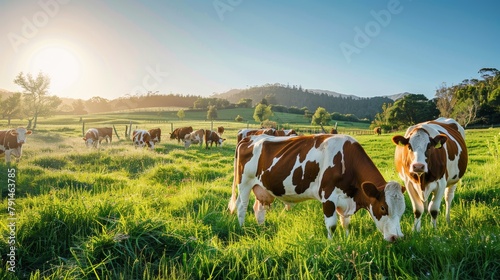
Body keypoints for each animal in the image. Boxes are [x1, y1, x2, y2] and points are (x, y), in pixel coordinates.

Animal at [229, 133, 406, 241]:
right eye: (383, 208)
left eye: (403, 210)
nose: (396, 237)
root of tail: (250, 137)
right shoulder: (328, 197)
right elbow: (332, 225)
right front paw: (332, 244)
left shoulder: (345, 198)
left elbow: (346, 223)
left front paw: (347, 239)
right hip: (244, 183)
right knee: (242, 207)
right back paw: (242, 228)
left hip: (261, 187)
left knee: (258, 208)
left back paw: (262, 229)